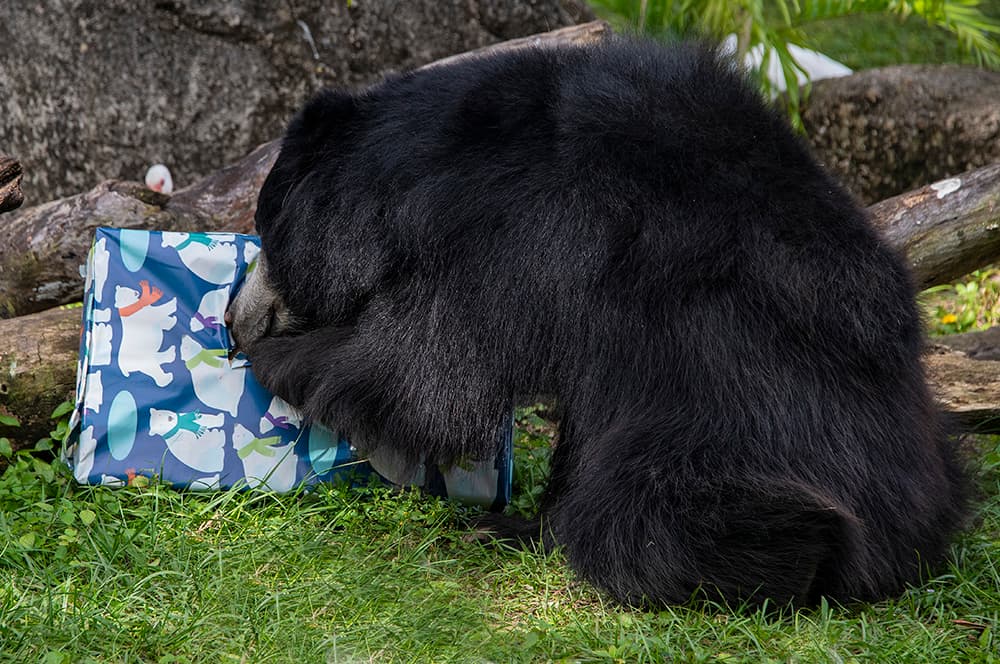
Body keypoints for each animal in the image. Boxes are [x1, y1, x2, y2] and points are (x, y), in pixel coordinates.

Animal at [226, 37, 969, 608]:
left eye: (270, 231)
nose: (235, 322)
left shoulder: (511, 232)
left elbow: (423, 372)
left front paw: (284, 362)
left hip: (735, 434)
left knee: (646, 512)